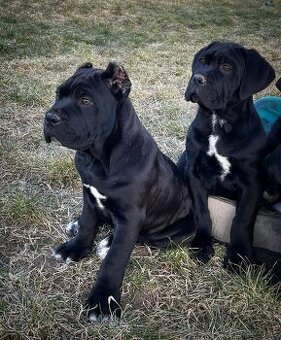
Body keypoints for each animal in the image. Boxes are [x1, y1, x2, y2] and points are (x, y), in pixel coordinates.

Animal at [44, 62, 197, 322]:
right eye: (58, 94)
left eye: (85, 101)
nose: (49, 117)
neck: (99, 158)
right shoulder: (88, 194)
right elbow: (88, 225)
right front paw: (75, 247)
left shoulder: (131, 215)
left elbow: (116, 259)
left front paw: (102, 301)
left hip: (180, 232)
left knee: (143, 237)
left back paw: (108, 242)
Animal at [177, 39, 274, 268]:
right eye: (202, 61)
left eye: (227, 68)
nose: (198, 78)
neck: (218, 122)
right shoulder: (194, 172)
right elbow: (202, 211)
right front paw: (201, 244)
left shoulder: (252, 182)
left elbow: (242, 219)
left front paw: (239, 255)